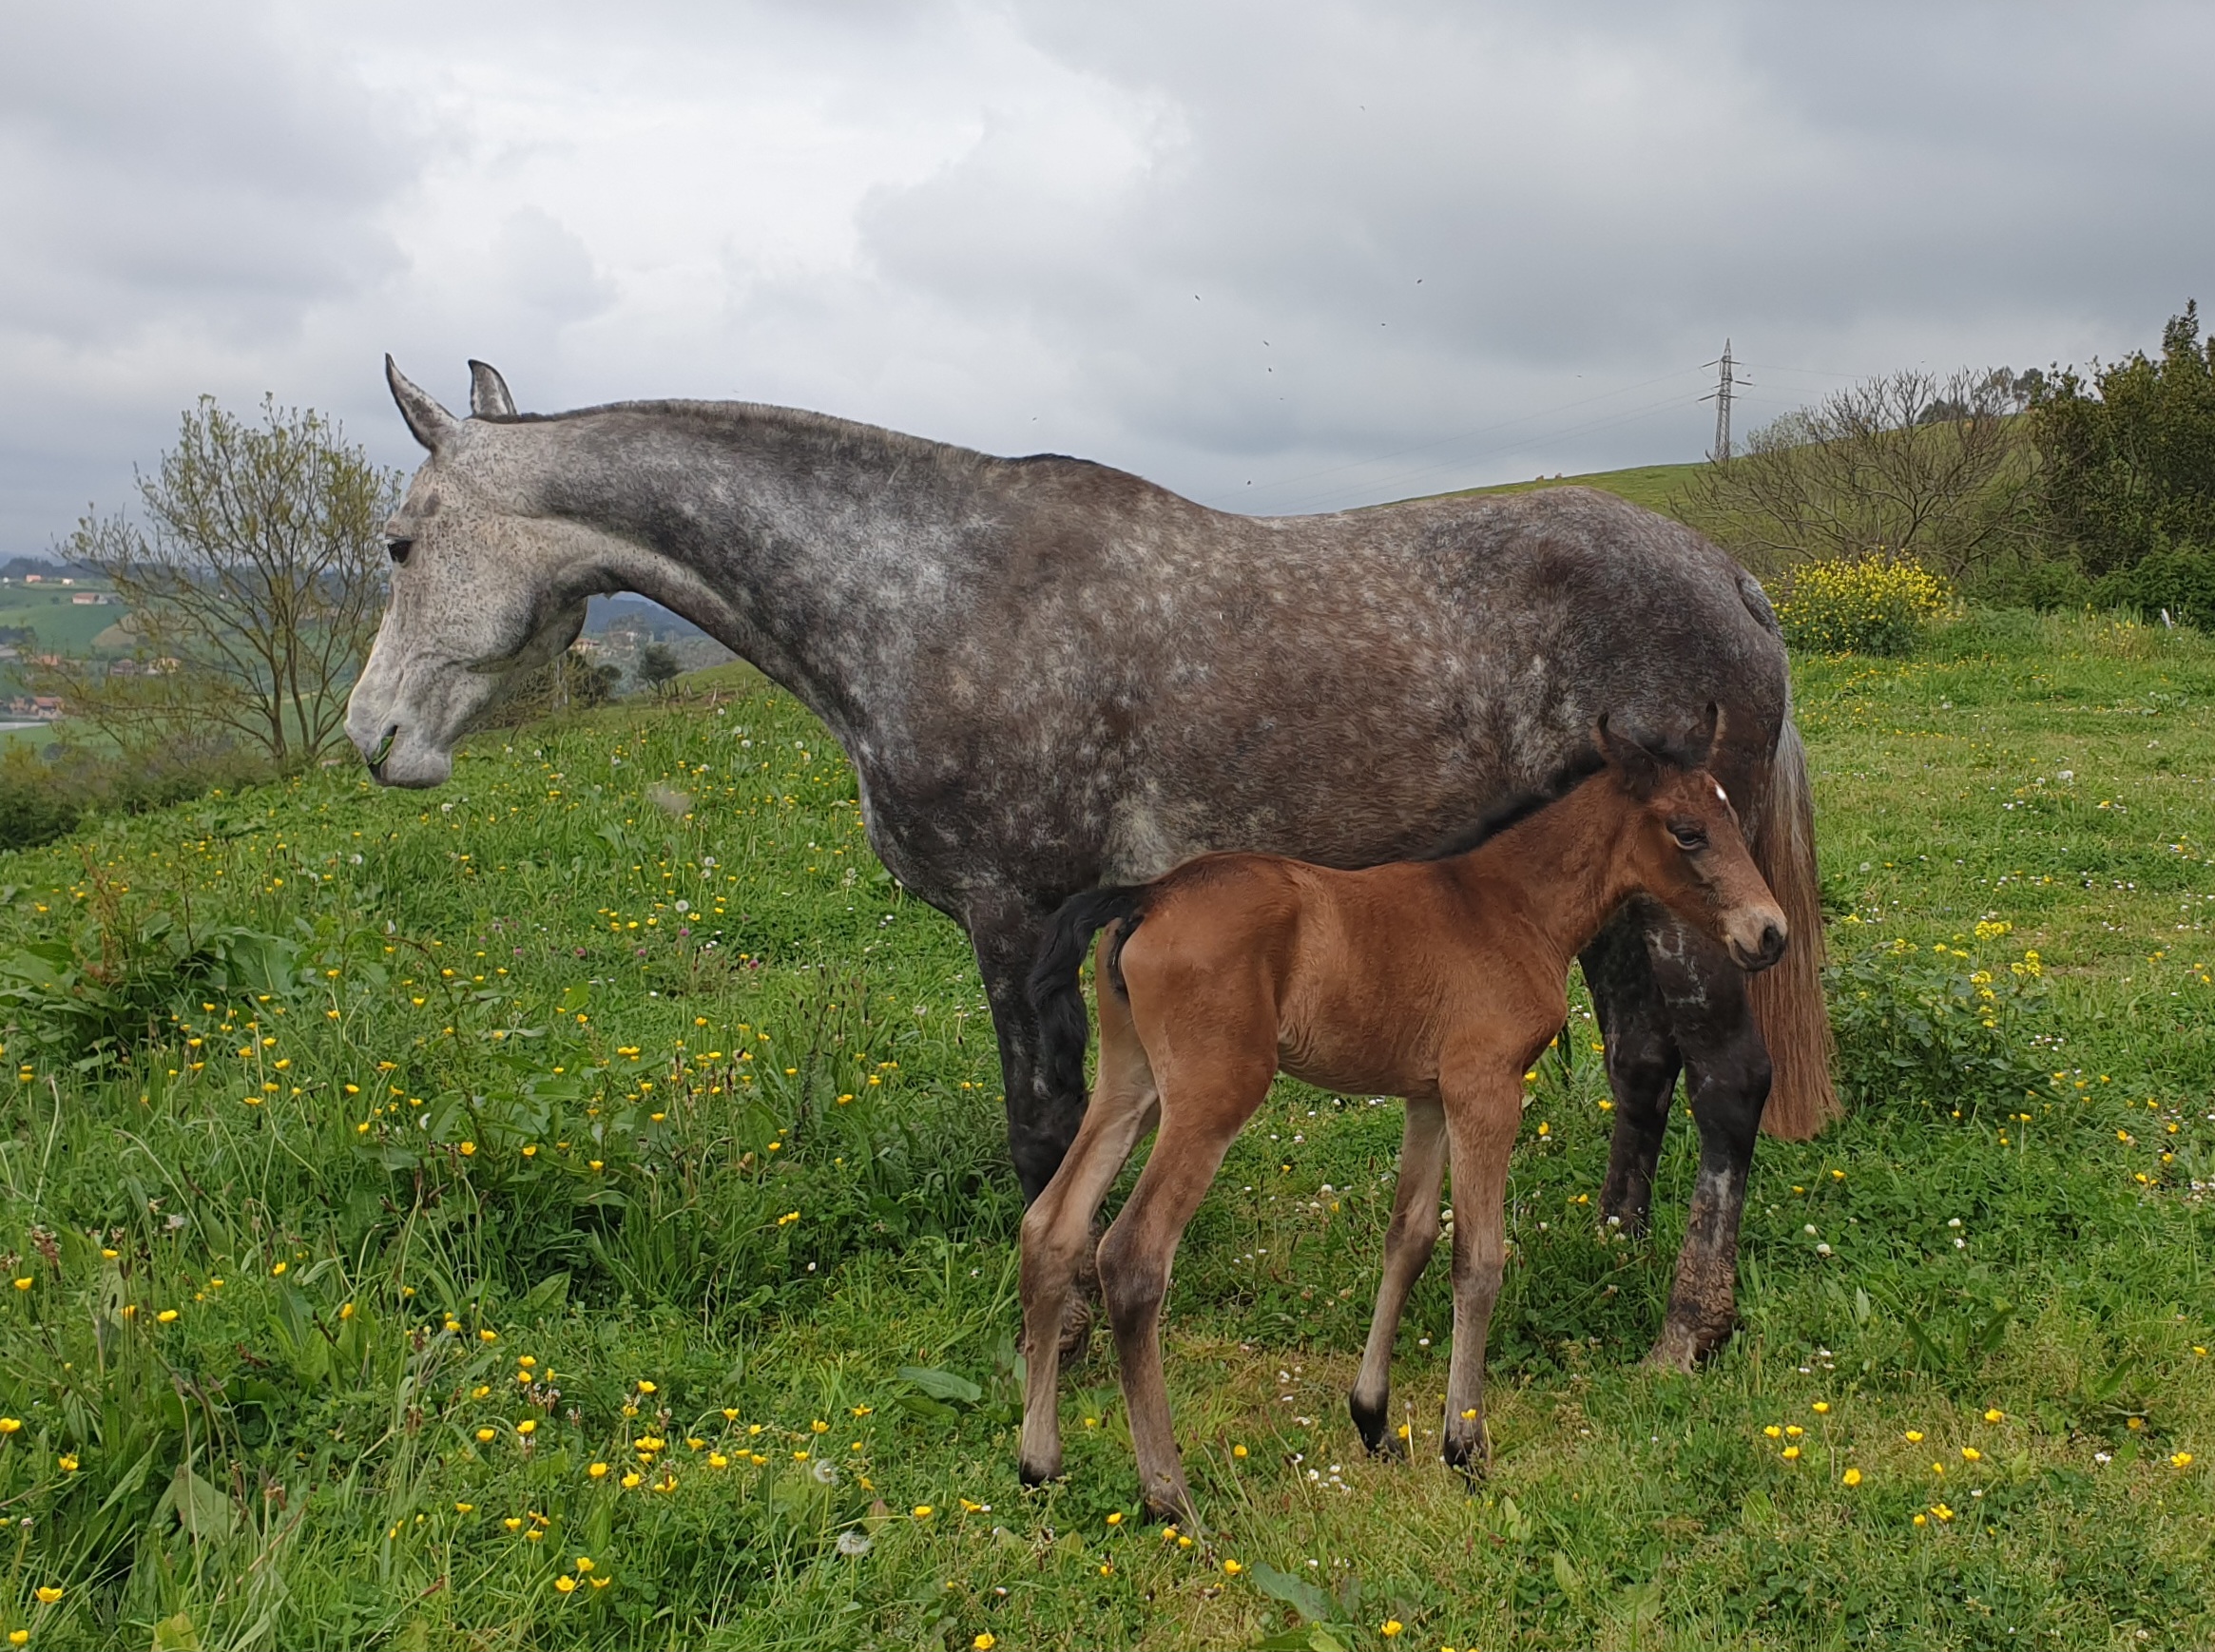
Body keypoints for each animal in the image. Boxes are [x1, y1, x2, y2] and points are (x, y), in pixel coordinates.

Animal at [345, 358, 1833, 1370]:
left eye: (401, 542)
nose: (373, 737)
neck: (934, 593)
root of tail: (1731, 578)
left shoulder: (1017, 920)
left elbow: (1038, 1131)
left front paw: (1048, 1332)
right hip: (1621, 898)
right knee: (1642, 1060)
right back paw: (1610, 1239)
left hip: (1698, 910)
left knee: (1726, 1083)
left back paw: (1684, 1331)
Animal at [1017, 709, 1785, 1521]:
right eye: (1687, 831)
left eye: (1730, 818)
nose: (1770, 933)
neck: (1510, 907)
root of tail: (1149, 896)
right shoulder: (1486, 1088)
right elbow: (1478, 1259)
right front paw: (1465, 1446)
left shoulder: (1429, 1096)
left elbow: (1408, 1239)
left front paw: (1374, 1421)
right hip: (1211, 1096)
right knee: (1131, 1257)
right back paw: (1171, 1495)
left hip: (1130, 1086)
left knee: (1051, 1227)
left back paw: (1039, 1462)